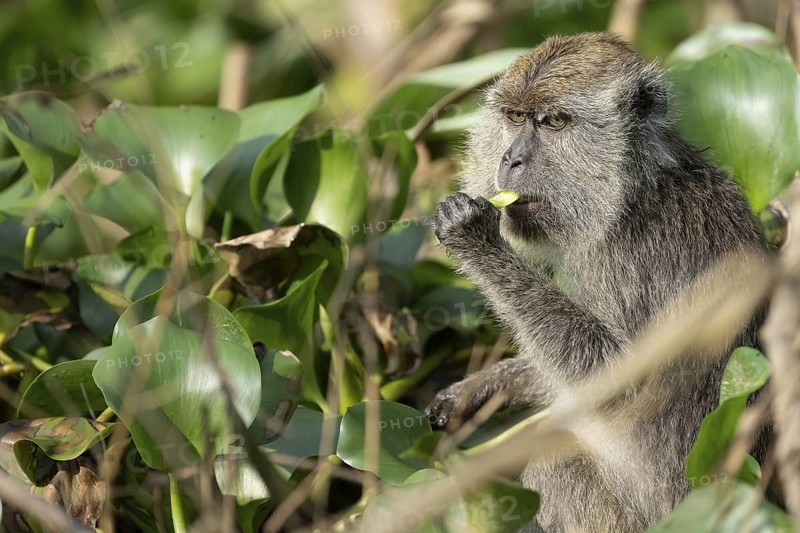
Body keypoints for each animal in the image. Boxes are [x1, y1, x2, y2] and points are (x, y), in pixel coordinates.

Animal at [424, 33, 770, 532]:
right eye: (514, 117)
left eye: (553, 122)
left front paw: (474, 238)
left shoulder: (628, 261)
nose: (510, 160)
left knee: (558, 467)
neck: (632, 190)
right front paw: (480, 388)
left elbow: (617, 382)